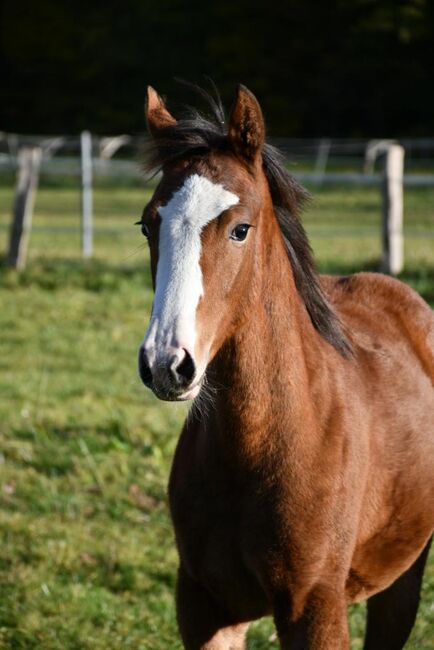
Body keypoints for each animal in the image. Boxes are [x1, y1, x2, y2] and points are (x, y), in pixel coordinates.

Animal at [136, 86, 434, 648]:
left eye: (240, 229)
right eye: (147, 225)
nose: (166, 363)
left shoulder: (314, 607)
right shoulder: (205, 605)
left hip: (401, 577)